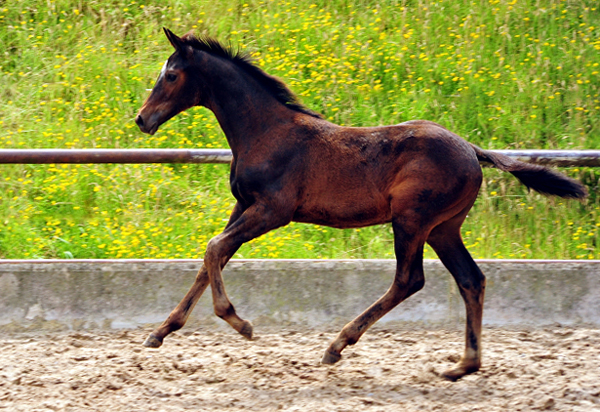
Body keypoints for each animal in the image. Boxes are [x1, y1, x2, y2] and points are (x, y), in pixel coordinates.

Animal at [135, 29, 584, 382]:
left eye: (170, 75)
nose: (142, 119)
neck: (265, 132)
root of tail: (473, 150)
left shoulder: (273, 211)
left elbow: (214, 249)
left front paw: (239, 322)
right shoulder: (243, 206)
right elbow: (211, 258)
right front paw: (161, 332)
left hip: (411, 220)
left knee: (409, 279)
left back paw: (338, 344)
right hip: (443, 228)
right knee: (470, 280)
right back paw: (462, 366)